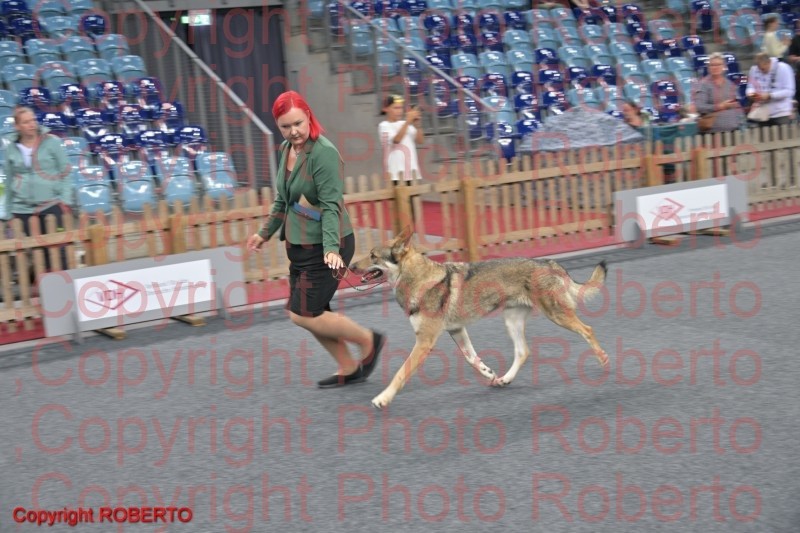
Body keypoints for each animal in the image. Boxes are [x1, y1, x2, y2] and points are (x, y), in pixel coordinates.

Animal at [349, 227, 609, 409]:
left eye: (372, 255)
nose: (350, 266)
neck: (419, 280)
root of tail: (550, 262)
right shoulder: (457, 330)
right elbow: (471, 358)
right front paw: (488, 373)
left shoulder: (424, 342)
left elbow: (400, 374)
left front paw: (383, 399)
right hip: (512, 321)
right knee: (523, 352)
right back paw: (505, 379)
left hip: (557, 315)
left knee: (588, 330)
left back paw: (603, 360)